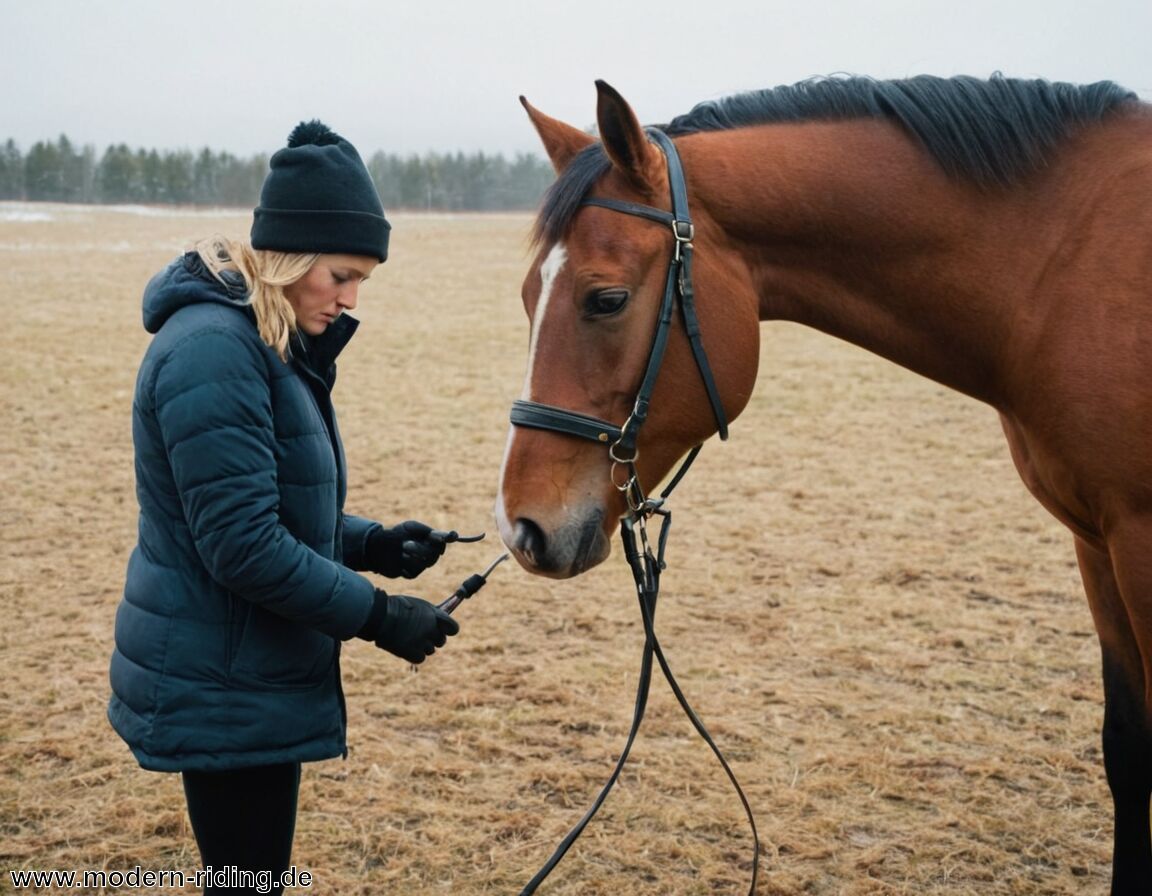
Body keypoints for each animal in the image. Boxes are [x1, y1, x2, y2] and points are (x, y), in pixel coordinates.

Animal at [494, 75, 1152, 893]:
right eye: (528, 297)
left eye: (605, 299)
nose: (521, 527)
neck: (1065, 266)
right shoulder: (1096, 541)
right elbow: (1128, 745)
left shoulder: (1139, 541)